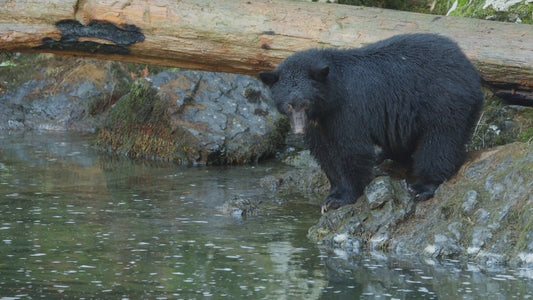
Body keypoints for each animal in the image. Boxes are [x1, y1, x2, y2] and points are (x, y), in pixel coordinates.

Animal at [260, 33, 484, 211]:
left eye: (306, 103)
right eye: (288, 105)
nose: (298, 130)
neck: (330, 96)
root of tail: (469, 67)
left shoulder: (348, 108)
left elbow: (352, 149)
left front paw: (343, 197)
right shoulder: (320, 122)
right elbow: (323, 152)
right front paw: (333, 193)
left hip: (445, 101)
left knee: (440, 142)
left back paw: (422, 186)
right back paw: (386, 156)